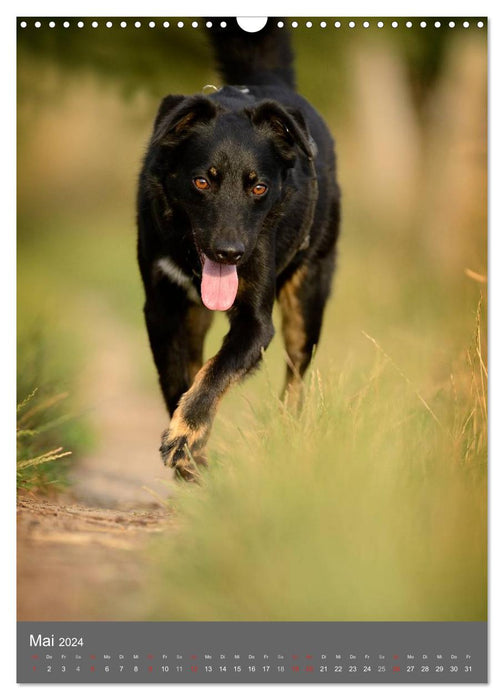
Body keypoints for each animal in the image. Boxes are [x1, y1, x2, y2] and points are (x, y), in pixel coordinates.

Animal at [138, 20, 340, 482]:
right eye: (202, 181)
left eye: (259, 187)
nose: (229, 254)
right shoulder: (162, 307)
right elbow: (178, 378)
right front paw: (189, 450)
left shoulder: (255, 323)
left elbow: (217, 371)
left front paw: (185, 437)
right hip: (194, 316)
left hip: (307, 301)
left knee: (295, 379)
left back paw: (285, 435)